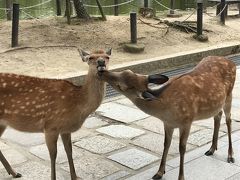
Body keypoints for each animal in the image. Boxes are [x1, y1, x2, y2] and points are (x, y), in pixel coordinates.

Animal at [0, 48, 111, 180]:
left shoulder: (65, 129)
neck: (77, 103)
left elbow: (69, 150)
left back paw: (14, 172)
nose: (101, 62)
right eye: (90, 57)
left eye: (107, 57)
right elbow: (53, 155)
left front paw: (75, 177)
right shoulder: (50, 126)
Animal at [97, 56, 236, 180]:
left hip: (229, 96)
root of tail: (232, 62)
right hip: (217, 104)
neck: (166, 108)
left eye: (121, 86)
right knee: (218, 115)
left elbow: (182, 148)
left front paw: (181, 177)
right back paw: (212, 149)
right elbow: (166, 144)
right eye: (126, 71)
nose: (101, 71)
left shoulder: (187, 121)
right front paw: (159, 173)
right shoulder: (168, 123)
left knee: (229, 120)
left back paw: (230, 156)